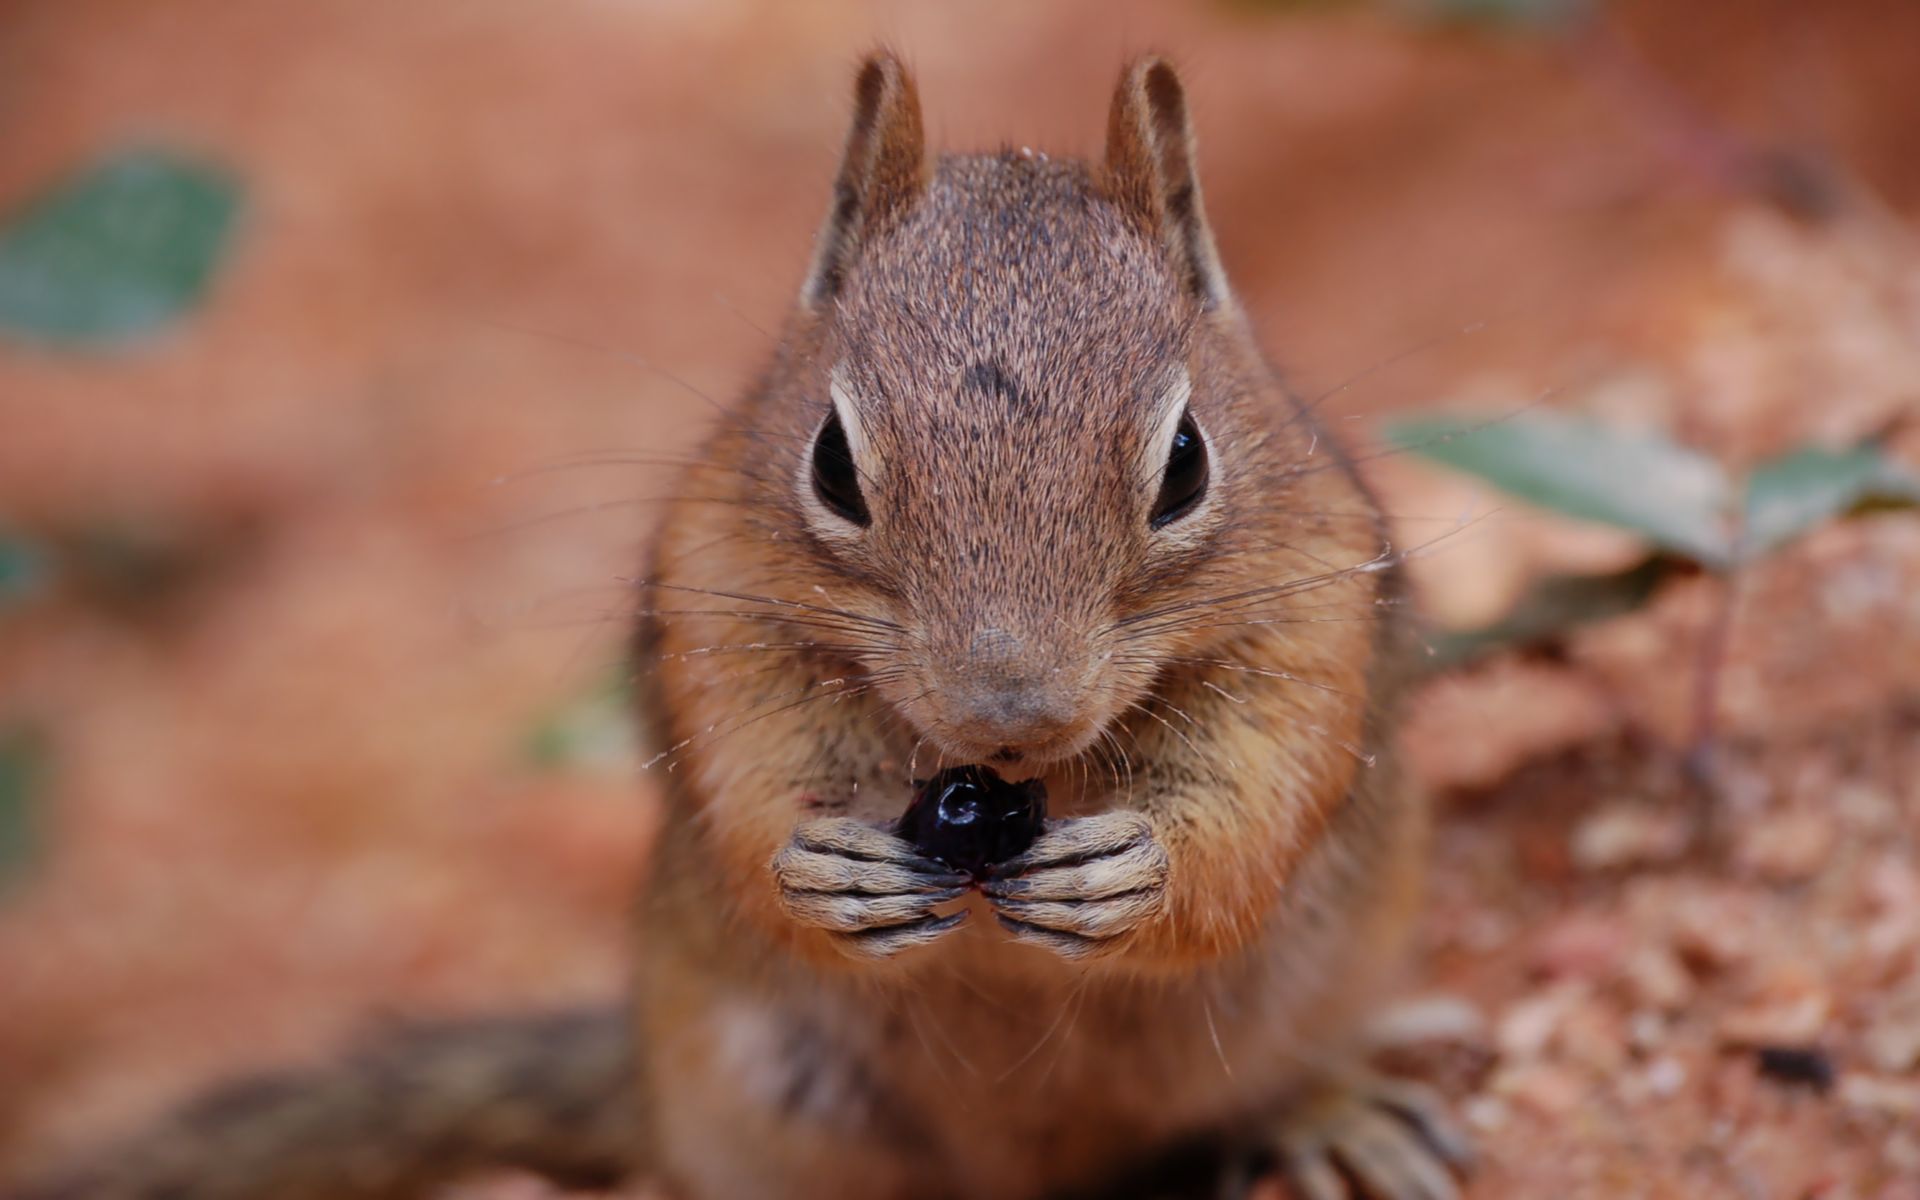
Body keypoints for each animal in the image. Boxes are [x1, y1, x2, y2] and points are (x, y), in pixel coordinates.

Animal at [7, 53, 1466, 1198]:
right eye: (831, 464)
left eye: (1186, 465)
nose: (1007, 716)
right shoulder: (716, 605)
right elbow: (748, 768)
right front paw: (822, 871)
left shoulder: (1311, 620)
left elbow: (1258, 790)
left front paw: (1136, 869)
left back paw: (1328, 1113)